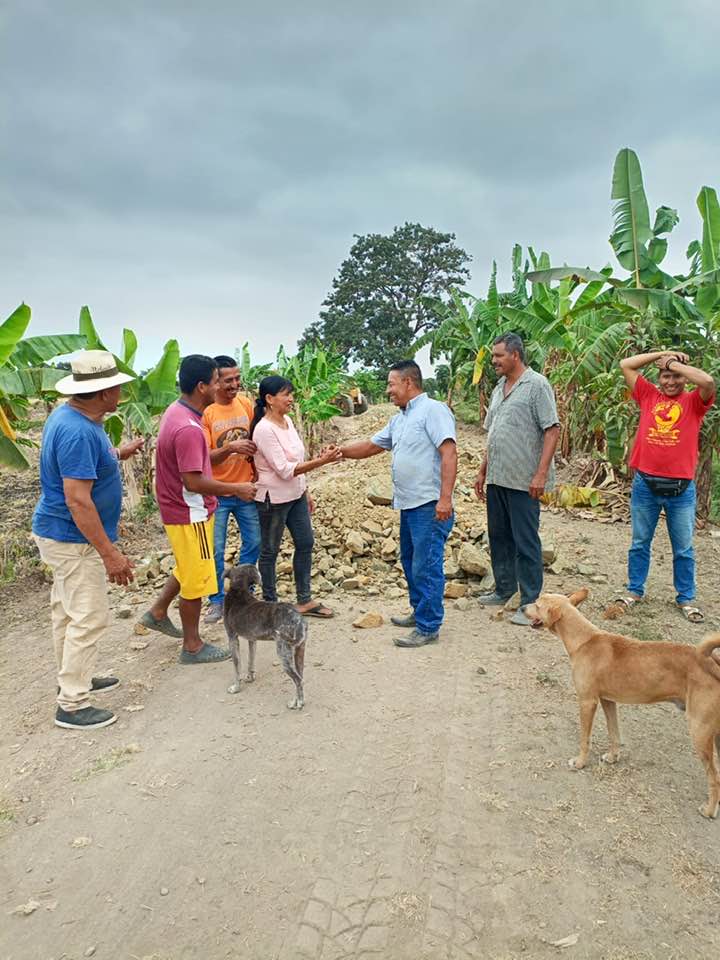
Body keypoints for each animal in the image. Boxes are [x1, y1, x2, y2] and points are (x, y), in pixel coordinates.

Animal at [222, 564, 307, 710]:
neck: (239, 590)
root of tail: (298, 618)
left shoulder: (232, 638)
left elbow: (237, 666)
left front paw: (236, 688)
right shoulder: (252, 640)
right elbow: (251, 660)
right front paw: (250, 677)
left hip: (283, 653)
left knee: (297, 679)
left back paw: (298, 703)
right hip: (299, 651)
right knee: (300, 677)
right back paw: (296, 701)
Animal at [525, 589, 720, 819]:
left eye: (537, 605)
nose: (522, 607)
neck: (584, 640)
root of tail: (711, 663)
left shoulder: (587, 701)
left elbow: (584, 739)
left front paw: (580, 762)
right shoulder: (608, 701)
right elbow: (614, 733)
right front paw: (613, 757)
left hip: (699, 731)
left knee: (714, 777)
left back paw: (709, 810)